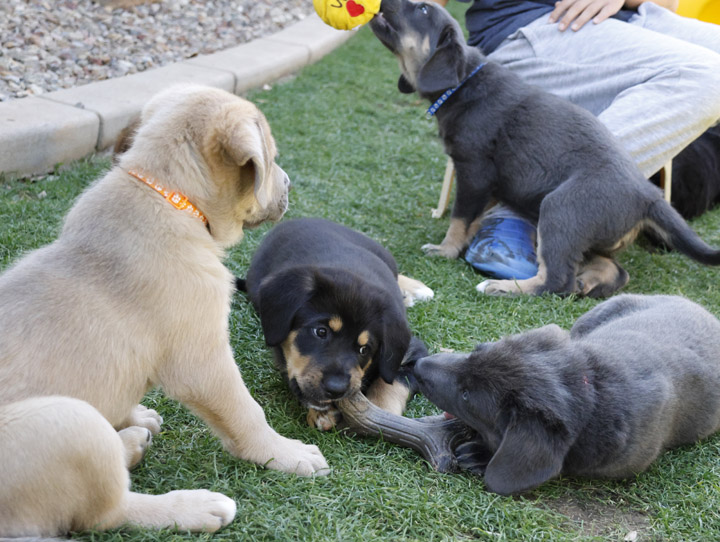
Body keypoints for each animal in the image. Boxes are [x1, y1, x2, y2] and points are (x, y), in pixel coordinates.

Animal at [242, 219, 434, 432]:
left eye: (364, 349)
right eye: (321, 332)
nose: (336, 389)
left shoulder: (413, 354)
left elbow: (390, 384)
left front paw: (381, 416)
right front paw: (322, 412)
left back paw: (416, 288)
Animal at [374, 0, 720, 298]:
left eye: (422, 9)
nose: (381, 2)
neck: (463, 85)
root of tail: (650, 196)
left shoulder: (474, 172)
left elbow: (460, 218)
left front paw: (445, 251)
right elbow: (474, 218)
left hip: (559, 210)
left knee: (555, 281)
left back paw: (502, 287)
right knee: (612, 271)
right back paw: (587, 283)